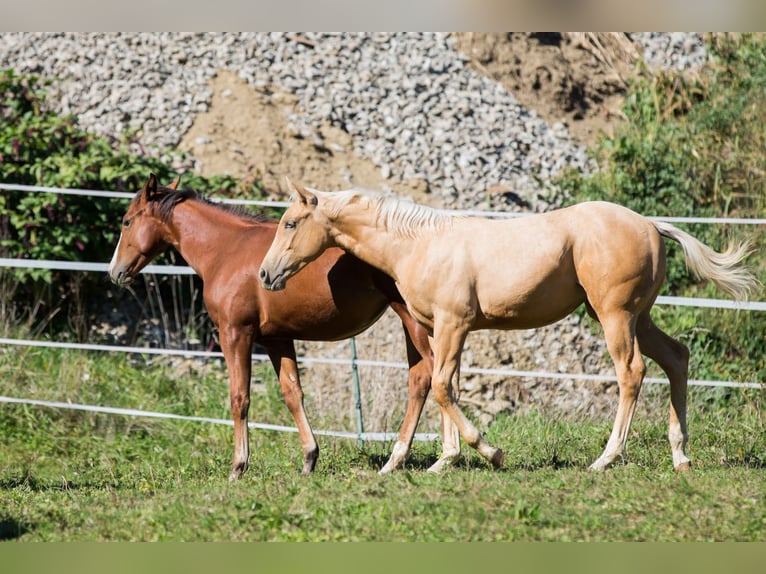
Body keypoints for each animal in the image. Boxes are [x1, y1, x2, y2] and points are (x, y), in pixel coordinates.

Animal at [108, 174, 456, 479]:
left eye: (127, 221)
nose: (115, 272)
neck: (226, 250)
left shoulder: (235, 334)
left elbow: (239, 397)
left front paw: (238, 466)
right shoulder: (277, 339)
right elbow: (292, 394)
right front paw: (309, 459)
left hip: (414, 321)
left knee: (428, 376)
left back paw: (422, 458)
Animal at [259, 179, 757, 472]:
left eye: (290, 223)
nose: (266, 274)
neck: (420, 244)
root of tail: (651, 224)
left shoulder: (454, 325)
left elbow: (441, 387)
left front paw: (492, 453)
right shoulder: (441, 331)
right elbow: (447, 387)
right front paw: (445, 461)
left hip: (616, 317)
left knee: (632, 373)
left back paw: (605, 459)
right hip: (640, 317)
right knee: (677, 358)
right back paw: (680, 456)